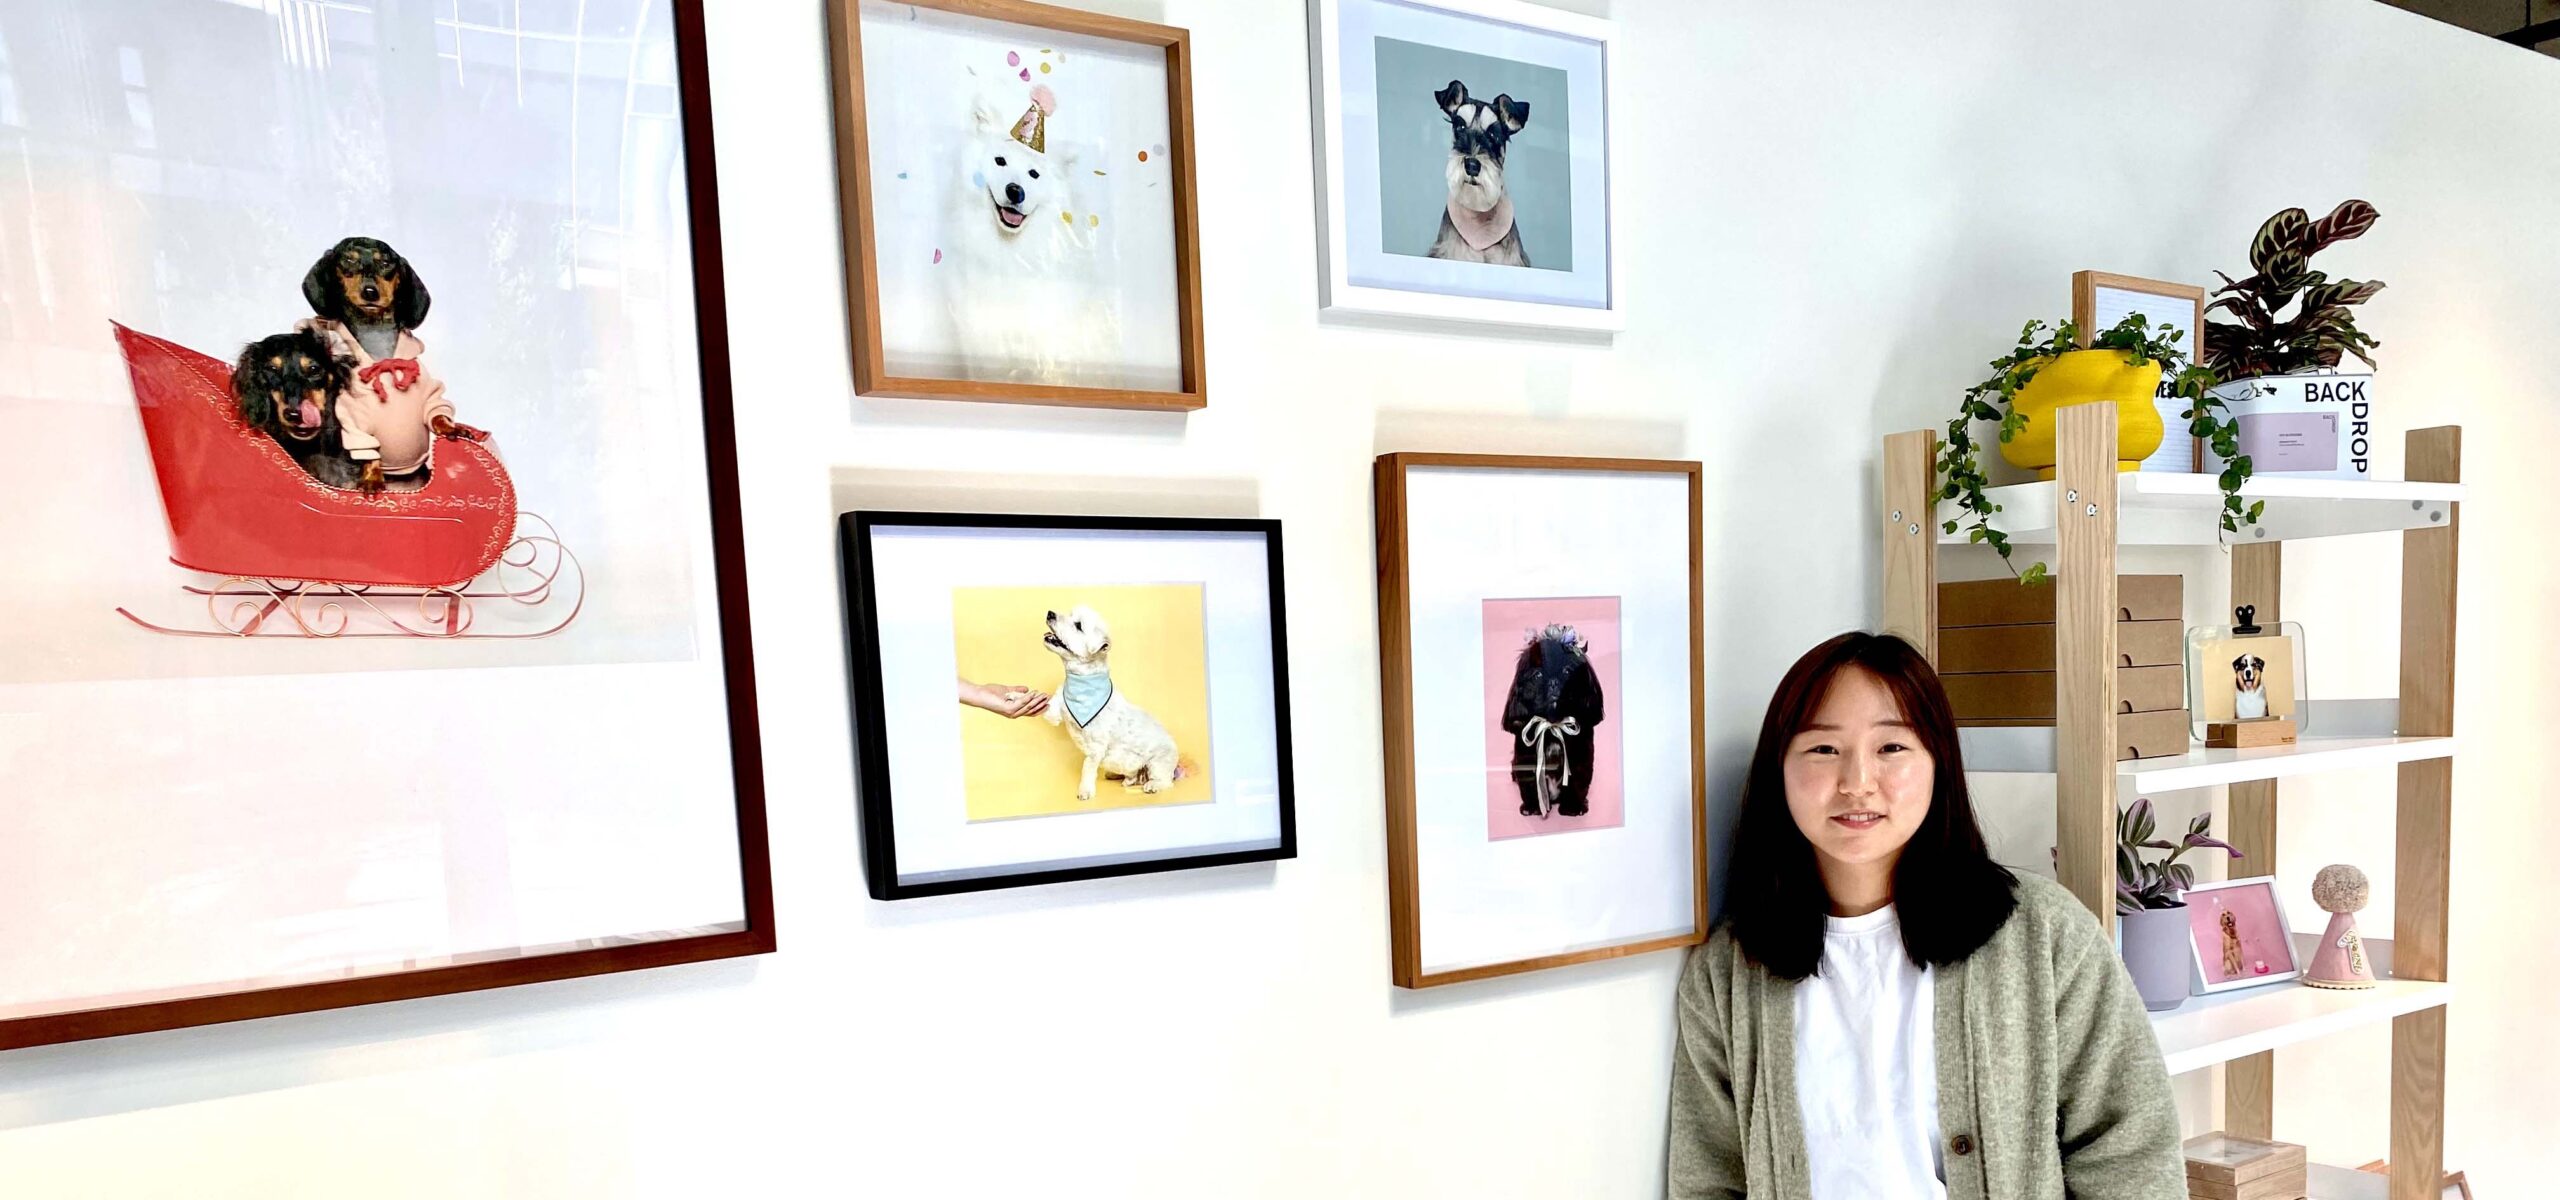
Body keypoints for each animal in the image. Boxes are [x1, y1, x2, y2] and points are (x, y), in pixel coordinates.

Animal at [1039, 603, 1177, 798]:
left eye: (1078, 625)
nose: (1050, 613)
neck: (1080, 682)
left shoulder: (1095, 747)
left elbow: (1087, 767)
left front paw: (1085, 790)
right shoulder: (1056, 710)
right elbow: (1046, 704)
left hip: (1158, 761)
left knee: (1165, 781)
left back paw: (1152, 785)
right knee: (1134, 775)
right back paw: (1123, 778)